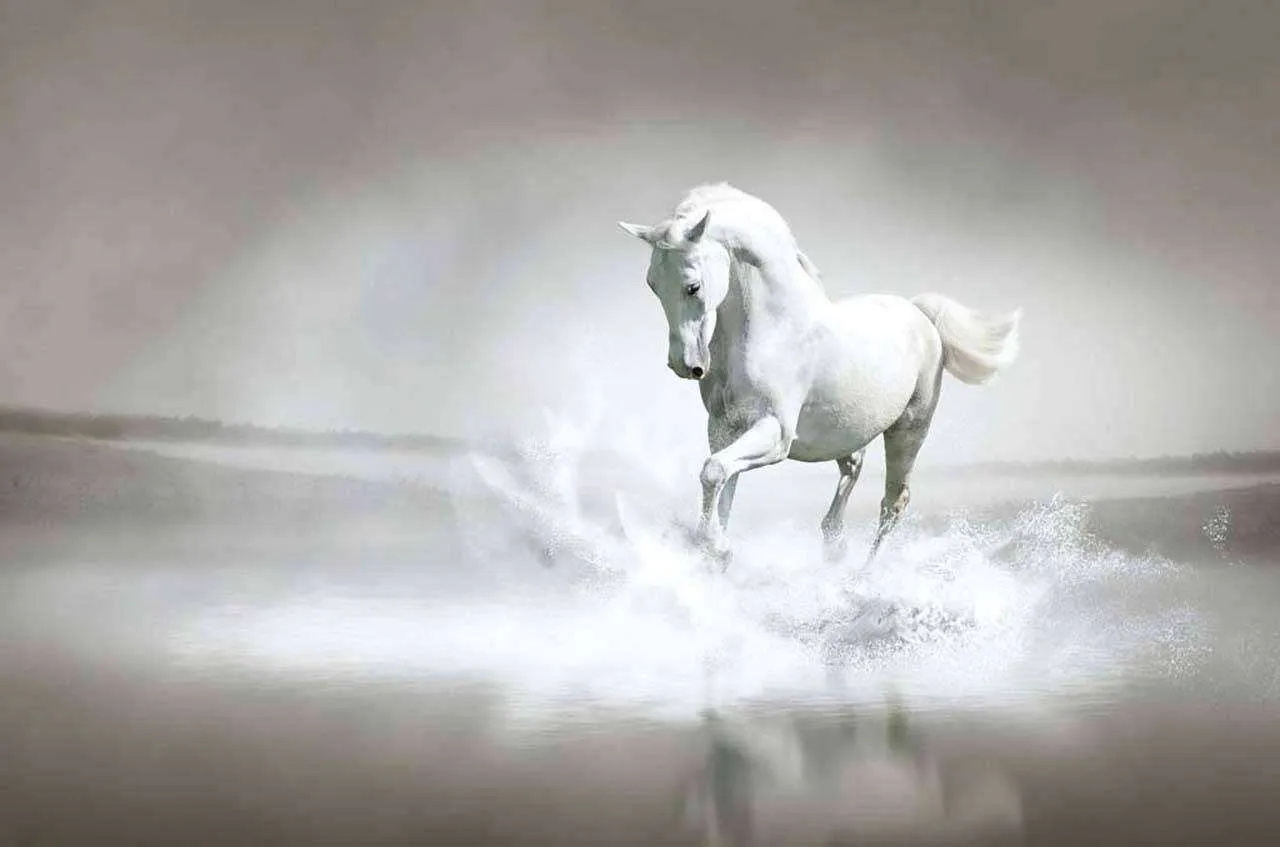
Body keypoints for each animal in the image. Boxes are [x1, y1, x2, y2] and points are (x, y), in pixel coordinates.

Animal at [618, 183, 1021, 566]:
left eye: (693, 286)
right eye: (653, 284)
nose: (685, 365)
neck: (772, 330)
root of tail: (920, 314)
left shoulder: (776, 433)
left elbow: (714, 472)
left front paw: (717, 548)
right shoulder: (723, 429)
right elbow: (722, 484)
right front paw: (714, 552)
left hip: (909, 429)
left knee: (893, 502)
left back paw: (863, 574)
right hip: (846, 431)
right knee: (853, 469)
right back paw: (834, 546)